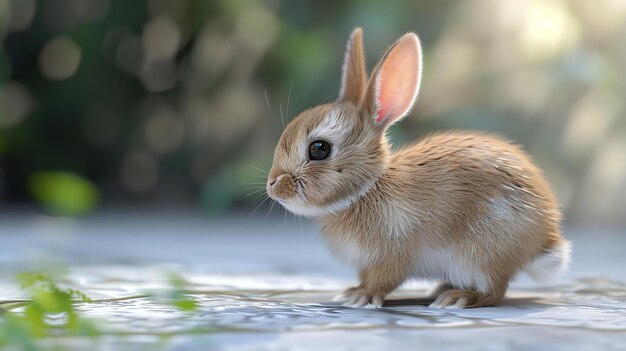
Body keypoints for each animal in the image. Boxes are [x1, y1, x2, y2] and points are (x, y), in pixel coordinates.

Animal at [266, 28, 568, 310]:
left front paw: (359, 297)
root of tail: (545, 238)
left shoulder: (392, 253)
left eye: (319, 149)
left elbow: (383, 280)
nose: (272, 186)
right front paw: (352, 291)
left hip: (481, 253)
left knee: (495, 290)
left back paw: (456, 298)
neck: (367, 190)